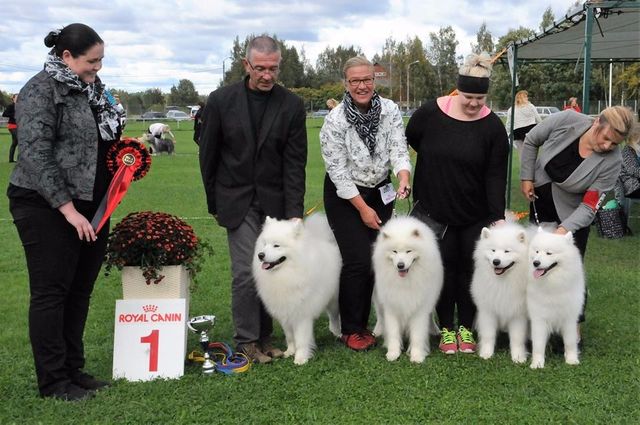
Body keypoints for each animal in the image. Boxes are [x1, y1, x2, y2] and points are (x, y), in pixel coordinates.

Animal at [251, 214, 342, 366]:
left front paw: (300, 358)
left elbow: (301, 339)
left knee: (335, 316)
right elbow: (290, 337)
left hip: (334, 299)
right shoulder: (285, 312)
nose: (261, 255)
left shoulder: (301, 314)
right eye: (265, 244)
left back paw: (338, 332)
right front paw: (289, 352)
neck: (286, 274)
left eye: (276, 245)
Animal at [372, 217, 442, 362]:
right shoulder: (391, 306)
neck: (404, 282)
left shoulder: (420, 307)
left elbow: (417, 334)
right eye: (394, 251)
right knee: (380, 316)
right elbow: (393, 332)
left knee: (431, 315)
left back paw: (434, 329)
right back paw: (378, 331)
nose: (400, 265)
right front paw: (393, 353)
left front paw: (417, 355)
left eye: (409, 251)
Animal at [470, 222, 528, 362]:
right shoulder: (488, 311)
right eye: (493, 250)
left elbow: (517, 338)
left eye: (507, 251)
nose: (496, 261)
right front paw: (486, 353)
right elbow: (488, 335)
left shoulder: (518, 313)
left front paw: (518, 357)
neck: (503, 283)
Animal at [524, 229, 584, 368]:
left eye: (549, 253)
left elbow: (570, 342)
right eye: (537, 251)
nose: (536, 263)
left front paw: (571, 359)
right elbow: (538, 344)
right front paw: (537, 363)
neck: (553, 284)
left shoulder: (569, 318)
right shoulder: (539, 318)